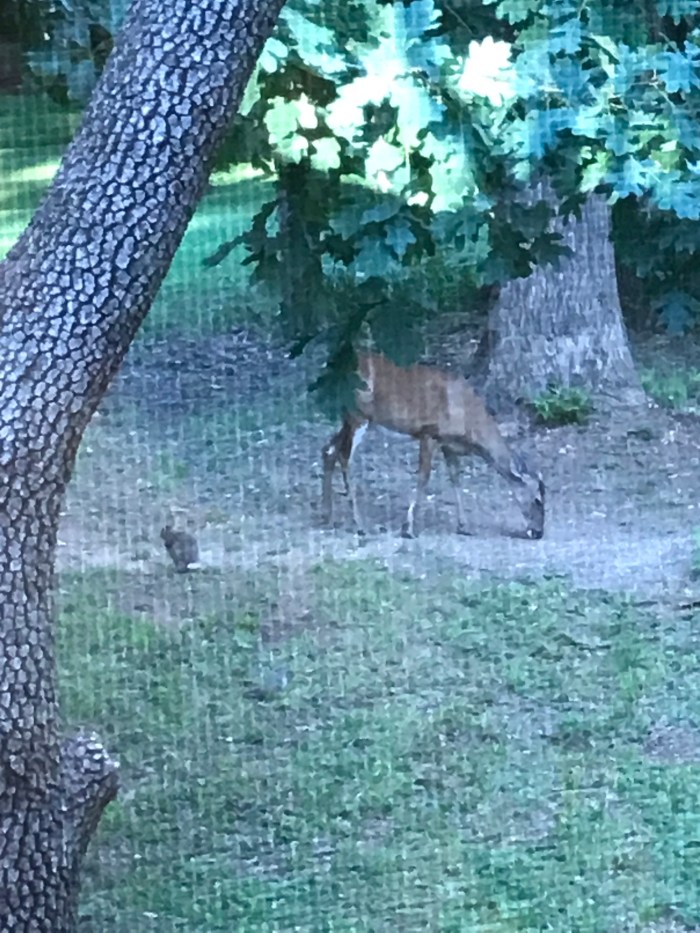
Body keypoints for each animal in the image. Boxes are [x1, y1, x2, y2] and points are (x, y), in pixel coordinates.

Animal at [321, 351, 545, 540]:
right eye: (537, 500)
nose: (538, 533)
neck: (468, 420)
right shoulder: (429, 433)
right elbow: (423, 477)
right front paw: (408, 528)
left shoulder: (448, 444)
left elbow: (455, 478)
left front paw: (464, 526)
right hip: (358, 413)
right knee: (344, 456)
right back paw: (359, 525)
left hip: (348, 417)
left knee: (329, 449)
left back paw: (328, 518)